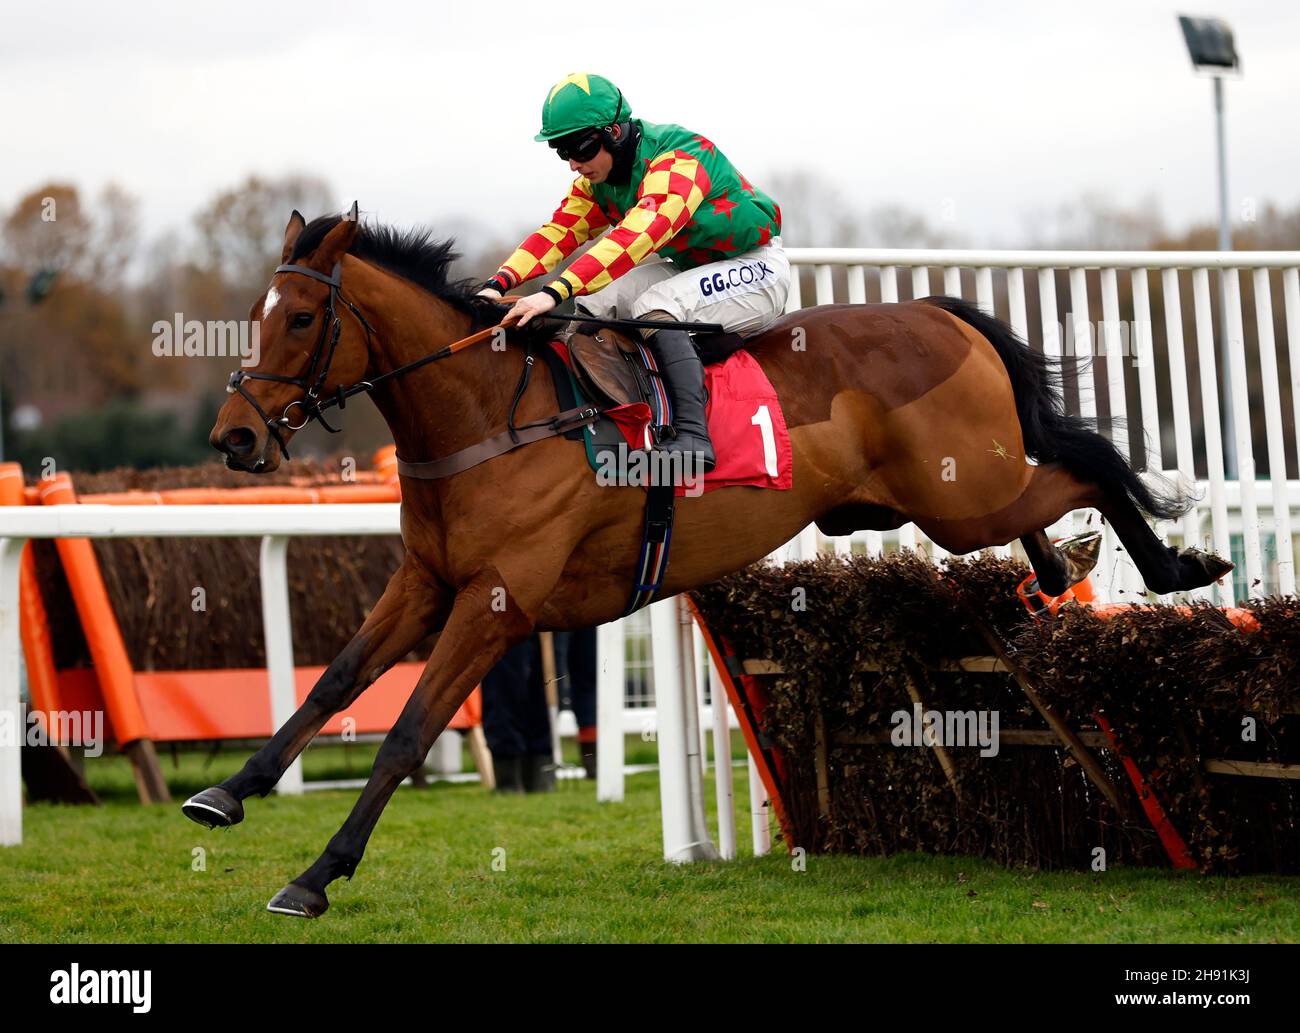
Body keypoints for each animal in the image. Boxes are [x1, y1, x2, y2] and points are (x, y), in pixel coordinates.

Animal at [185, 206, 1227, 914]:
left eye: (300, 320)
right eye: (254, 312)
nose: (234, 436)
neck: (489, 411)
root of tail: (940, 313)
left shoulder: (498, 601)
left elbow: (404, 733)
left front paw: (316, 875)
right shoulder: (426, 579)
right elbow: (332, 684)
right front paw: (226, 792)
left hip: (966, 491)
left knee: (1088, 468)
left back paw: (1177, 568)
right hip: (949, 501)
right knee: (1049, 513)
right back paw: (1061, 573)